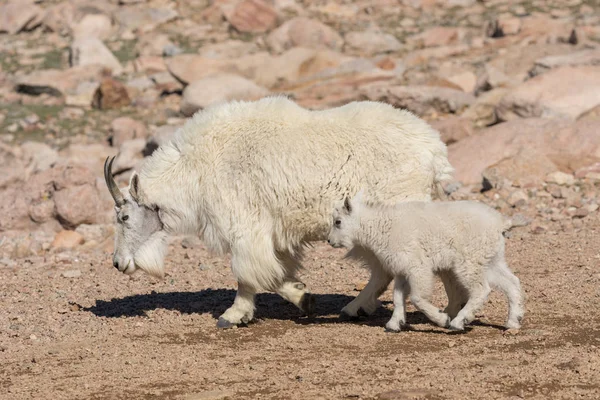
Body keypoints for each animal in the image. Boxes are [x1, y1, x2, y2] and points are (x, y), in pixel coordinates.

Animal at [103, 96, 452, 328]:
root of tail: (435, 152)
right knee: (382, 269)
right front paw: (302, 297)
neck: (194, 168)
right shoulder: (273, 233)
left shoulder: (245, 225)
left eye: (124, 217)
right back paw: (356, 307)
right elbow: (276, 270)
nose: (118, 264)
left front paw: (233, 315)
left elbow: (251, 271)